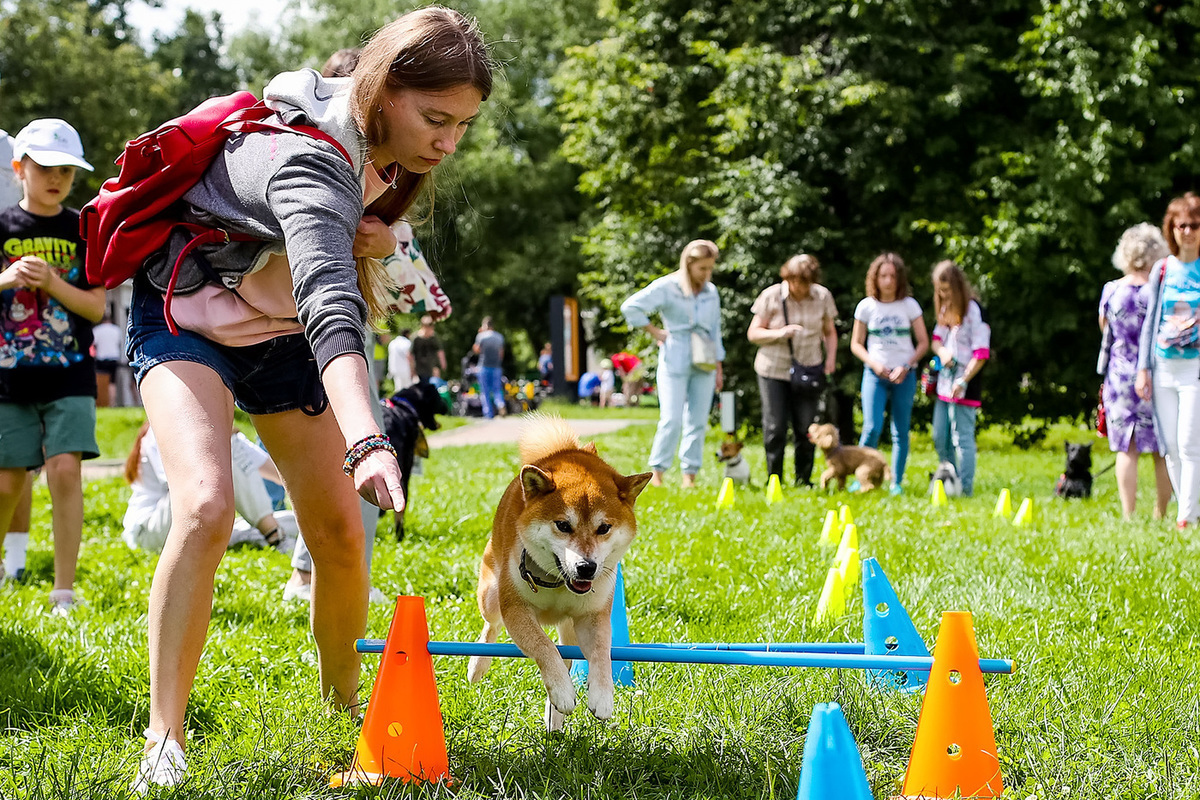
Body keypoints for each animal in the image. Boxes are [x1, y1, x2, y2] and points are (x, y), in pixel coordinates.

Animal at [468, 419, 657, 734]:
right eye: (563, 525)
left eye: (604, 528)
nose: (586, 567)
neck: (558, 584)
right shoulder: (516, 609)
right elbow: (544, 648)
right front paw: (563, 691)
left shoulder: (593, 616)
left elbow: (601, 652)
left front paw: (602, 696)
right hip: (492, 596)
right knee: (491, 626)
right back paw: (477, 664)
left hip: (569, 629)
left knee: (567, 655)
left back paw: (553, 718)